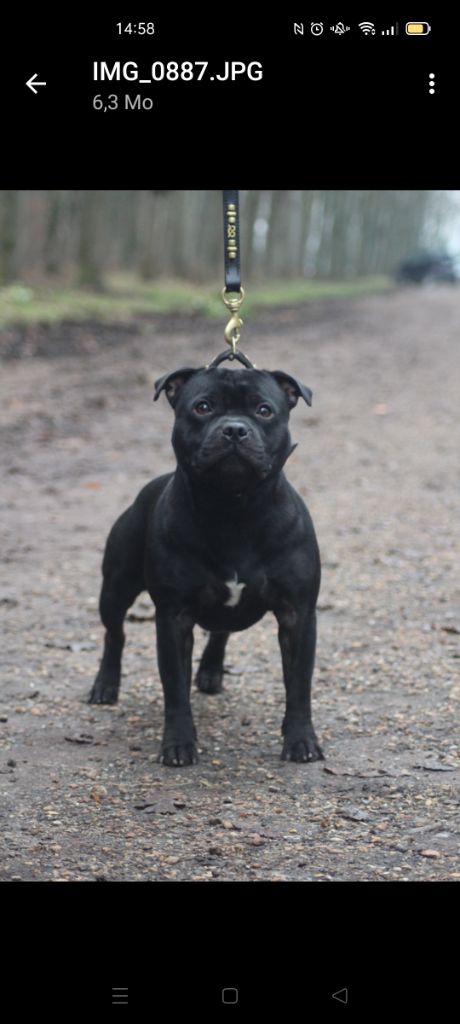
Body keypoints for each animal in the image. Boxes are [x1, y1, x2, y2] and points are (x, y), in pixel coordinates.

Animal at [88, 364, 321, 765]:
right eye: (202, 407)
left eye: (264, 410)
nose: (234, 429)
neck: (232, 507)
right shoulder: (173, 617)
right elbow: (174, 688)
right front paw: (178, 743)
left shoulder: (299, 615)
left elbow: (299, 685)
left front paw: (301, 739)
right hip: (116, 587)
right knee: (114, 633)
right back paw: (105, 684)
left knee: (220, 630)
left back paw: (211, 672)